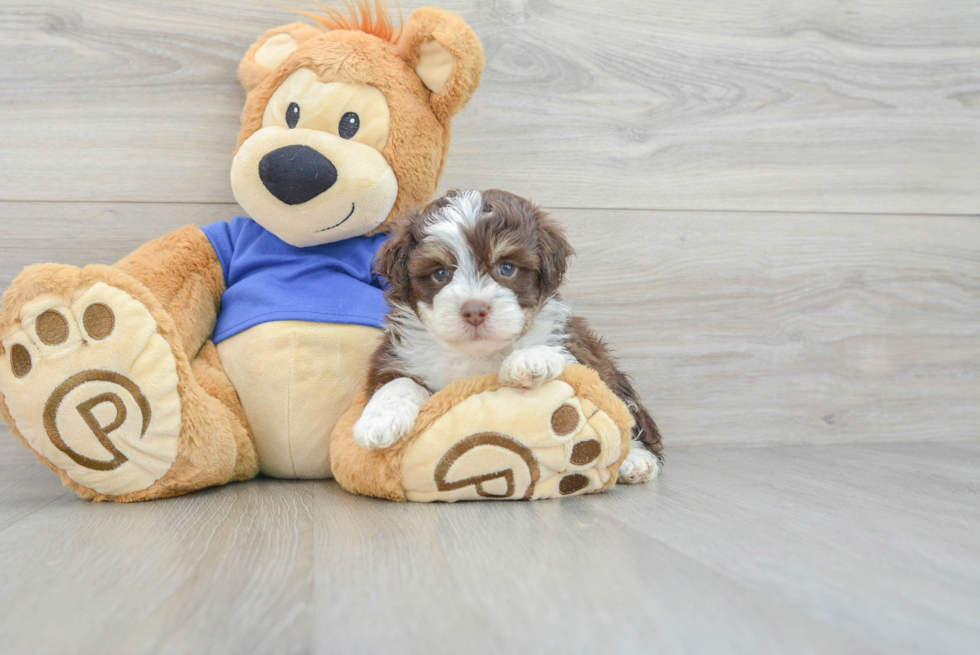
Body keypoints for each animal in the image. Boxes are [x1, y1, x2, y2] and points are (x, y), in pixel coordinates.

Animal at [352, 187, 668, 484]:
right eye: (440, 274)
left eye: (506, 268)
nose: (474, 310)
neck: (477, 354)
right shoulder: (398, 355)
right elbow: (398, 382)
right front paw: (378, 422)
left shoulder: (576, 347)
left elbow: (560, 356)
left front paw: (527, 362)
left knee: (626, 411)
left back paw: (636, 460)